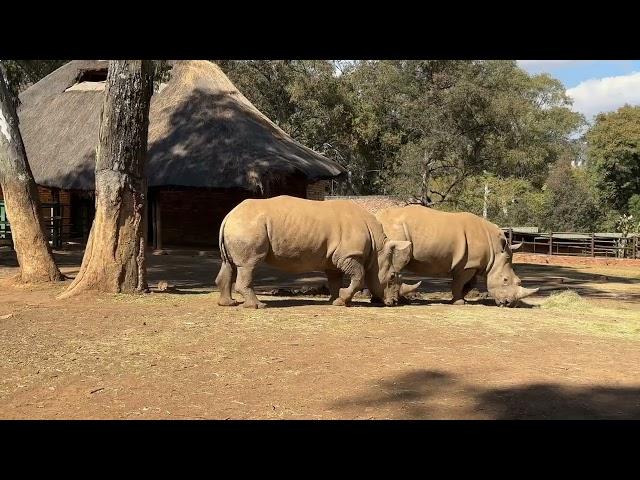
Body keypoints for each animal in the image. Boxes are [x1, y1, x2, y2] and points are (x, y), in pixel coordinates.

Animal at [216, 197, 420, 310]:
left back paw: (228, 304)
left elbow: (335, 279)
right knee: (249, 265)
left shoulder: (335, 259)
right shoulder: (348, 255)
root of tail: (229, 214)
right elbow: (359, 276)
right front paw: (342, 301)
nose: (393, 302)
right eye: (392, 277)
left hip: (240, 225)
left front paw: (335, 299)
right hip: (248, 226)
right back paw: (257, 306)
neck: (377, 250)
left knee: (229, 264)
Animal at [378, 204, 536, 306]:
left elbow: (469, 284)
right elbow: (460, 282)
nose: (510, 303)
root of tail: (377, 217)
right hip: (396, 232)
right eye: (505, 280)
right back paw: (400, 301)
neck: (495, 252)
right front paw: (459, 302)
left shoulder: (473, 264)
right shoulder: (468, 265)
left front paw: (461, 300)